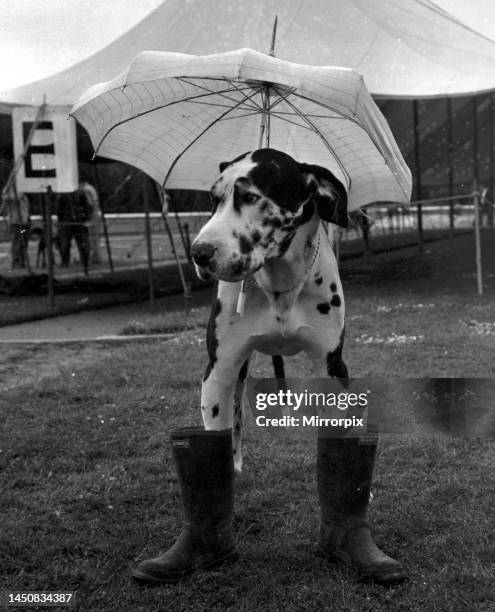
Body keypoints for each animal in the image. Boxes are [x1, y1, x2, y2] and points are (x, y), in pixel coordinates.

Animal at [190, 147, 348, 468]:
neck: (279, 287)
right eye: (213, 199)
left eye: (250, 197)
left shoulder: (333, 368)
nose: (199, 253)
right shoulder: (218, 373)